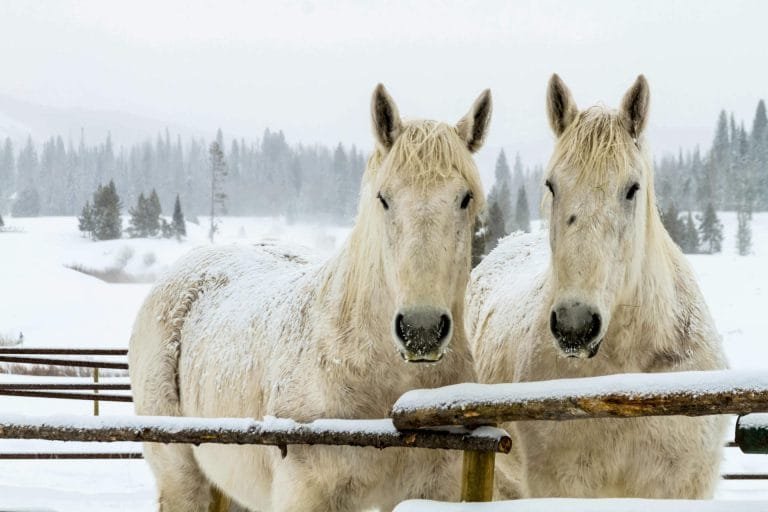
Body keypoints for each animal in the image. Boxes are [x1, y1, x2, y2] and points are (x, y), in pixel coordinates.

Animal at [129, 83, 492, 511]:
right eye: (383, 198)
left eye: (465, 198)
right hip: (181, 476)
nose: (422, 330)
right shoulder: (310, 494)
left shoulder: (435, 490)